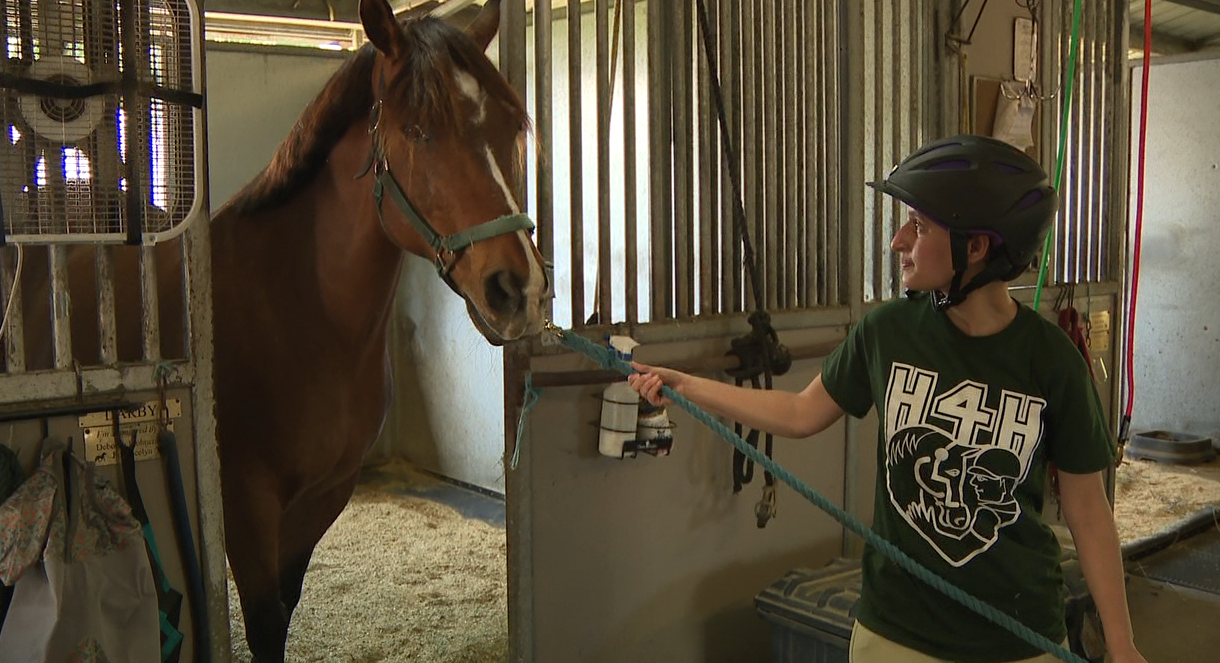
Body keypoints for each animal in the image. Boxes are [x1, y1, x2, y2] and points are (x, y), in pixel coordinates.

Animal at [14, 1, 547, 660]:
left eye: (512, 129)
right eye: (420, 132)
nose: (520, 290)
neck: (302, 312)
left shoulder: (324, 496)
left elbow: (286, 606)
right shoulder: (244, 507)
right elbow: (265, 621)